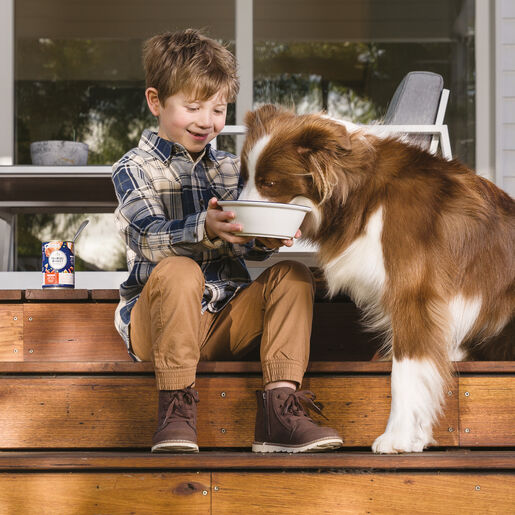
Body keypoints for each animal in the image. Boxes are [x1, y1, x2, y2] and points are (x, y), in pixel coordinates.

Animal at [240, 105, 515, 456]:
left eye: (270, 183)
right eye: (245, 178)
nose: (245, 233)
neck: (365, 192)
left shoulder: (414, 293)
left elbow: (405, 372)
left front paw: (398, 438)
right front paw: (415, 436)